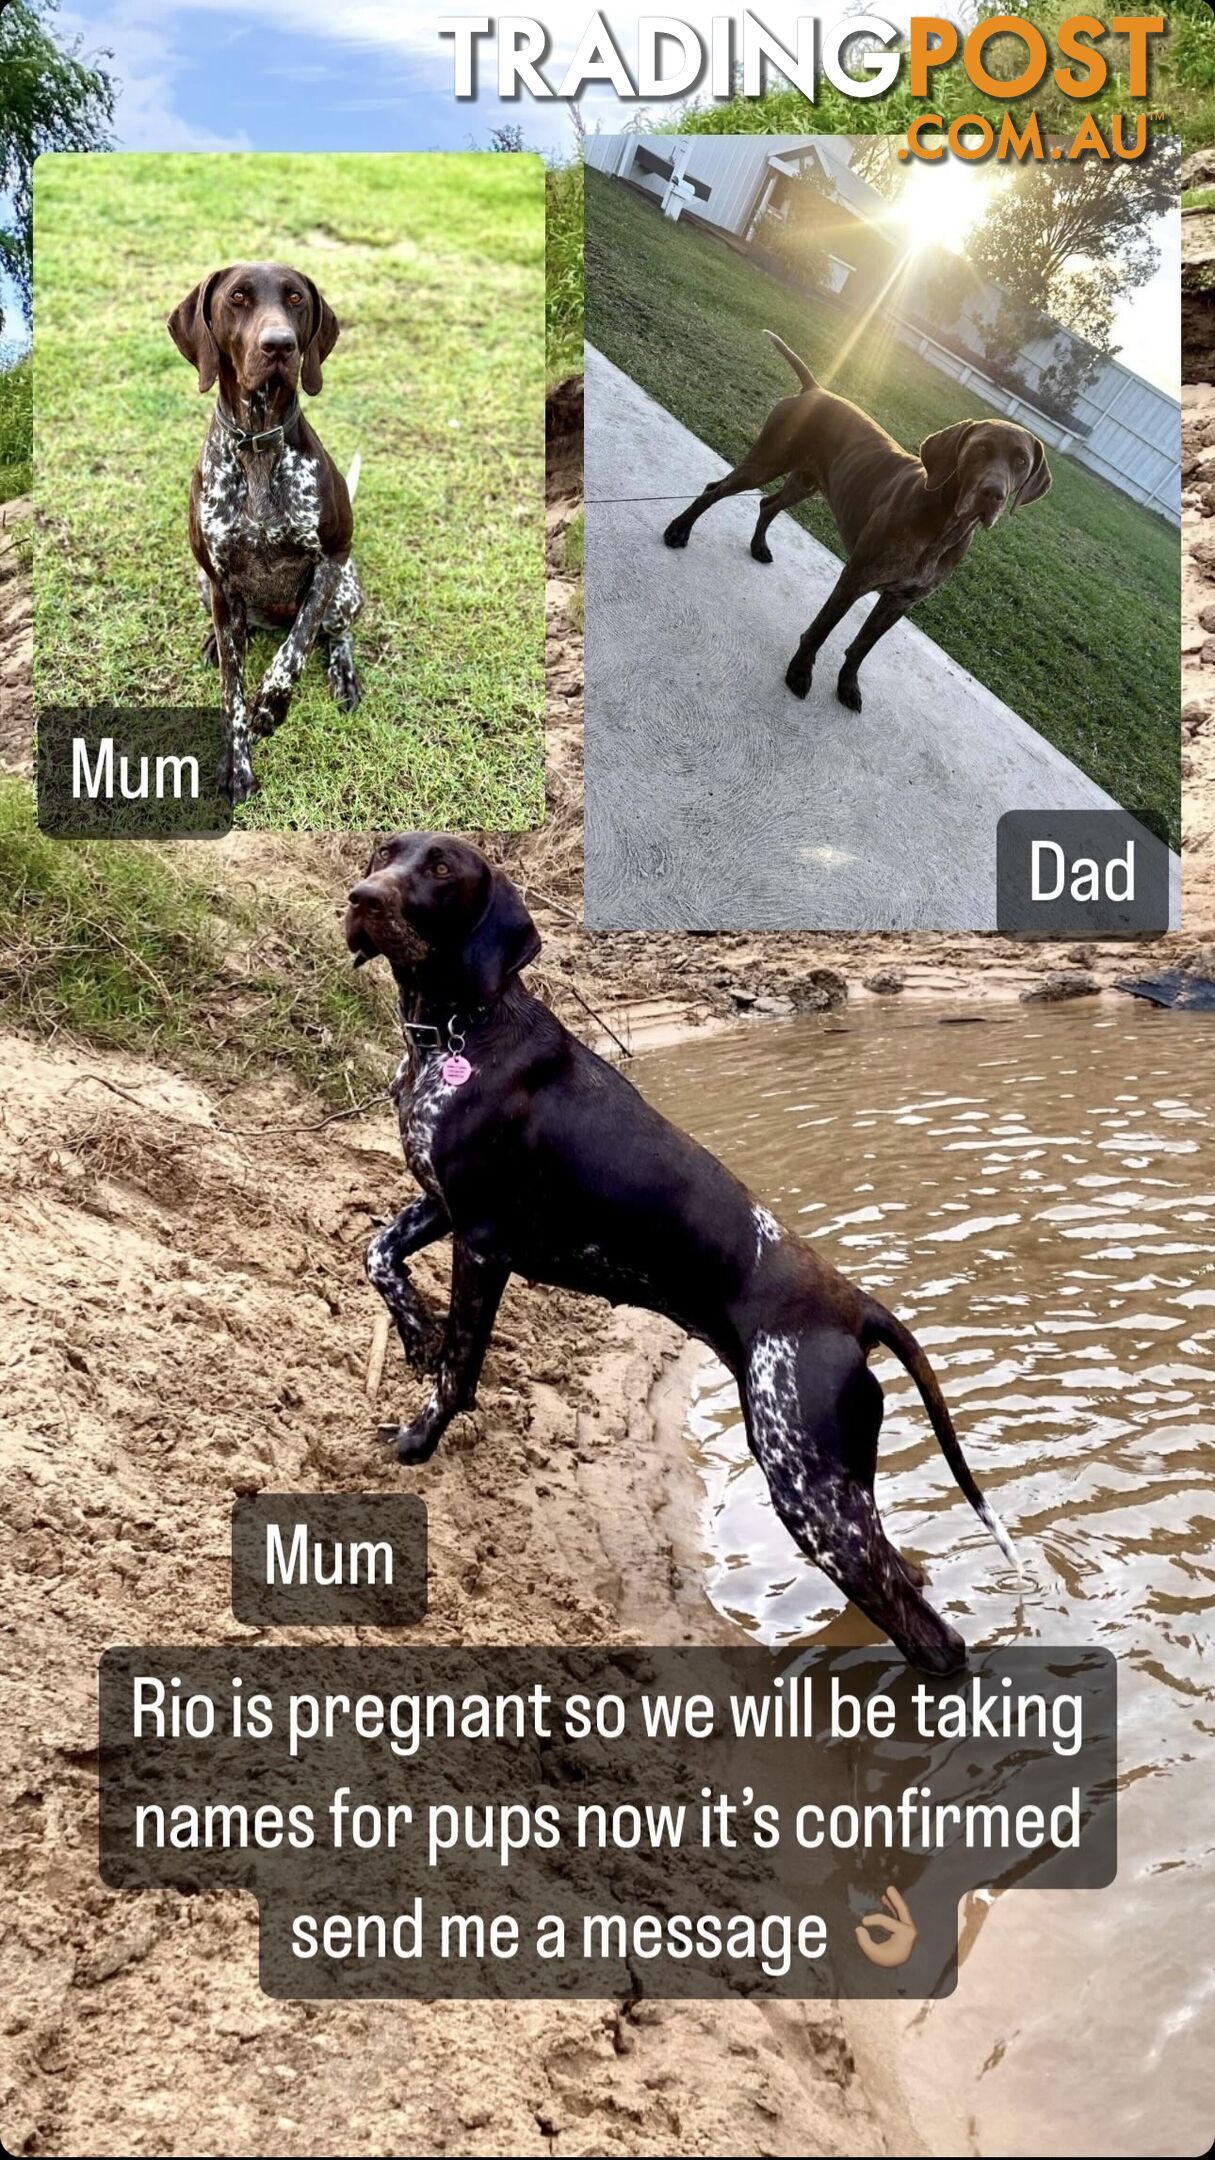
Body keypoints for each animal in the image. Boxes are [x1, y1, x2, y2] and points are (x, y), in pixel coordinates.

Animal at [167, 262, 361, 803]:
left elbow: (293, 652)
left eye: (295, 299)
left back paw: (343, 674)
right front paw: (237, 764)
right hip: (205, 585)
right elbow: (231, 689)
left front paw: (271, 708)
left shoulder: (331, 560)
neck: (257, 442)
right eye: (237, 298)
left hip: (348, 589)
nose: (279, 345)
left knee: (333, 634)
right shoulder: (219, 578)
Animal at [657, 330, 1046, 708]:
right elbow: (821, 629)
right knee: (715, 490)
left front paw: (847, 685)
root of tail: (814, 389)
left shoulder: (899, 601)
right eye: (979, 449)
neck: (942, 525)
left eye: (1021, 461)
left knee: (768, 504)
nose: (993, 493)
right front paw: (800, 672)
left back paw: (758, 546)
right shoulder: (854, 580)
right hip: (765, 463)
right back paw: (679, 530)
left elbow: (861, 647)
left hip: (805, 481)